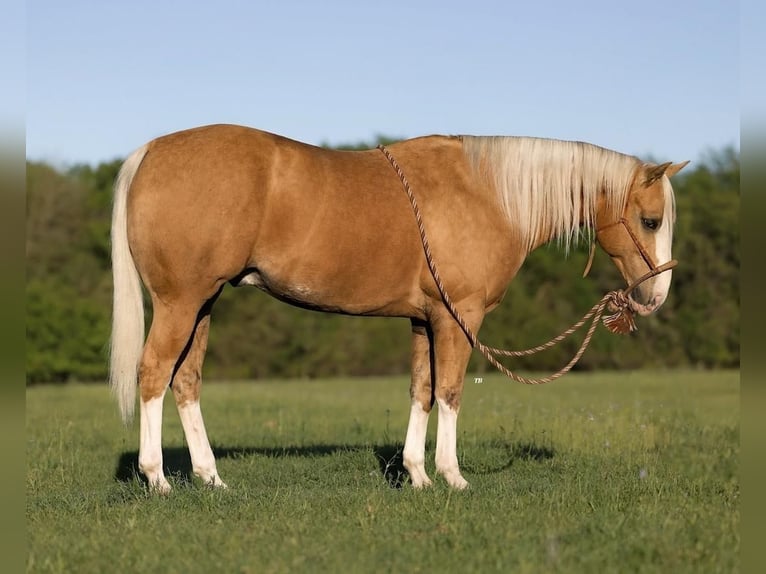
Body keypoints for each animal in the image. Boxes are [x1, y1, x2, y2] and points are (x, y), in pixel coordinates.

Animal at [109, 124, 688, 492]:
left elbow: (422, 391)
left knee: (185, 381)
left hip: (204, 304)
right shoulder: (460, 318)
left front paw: (417, 474)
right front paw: (453, 477)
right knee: (154, 373)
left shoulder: (424, 319)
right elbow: (450, 393)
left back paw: (211, 478)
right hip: (181, 302)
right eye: (652, 220)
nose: (656, 297)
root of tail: (150, 151)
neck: (488, 193)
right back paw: (156, 478)